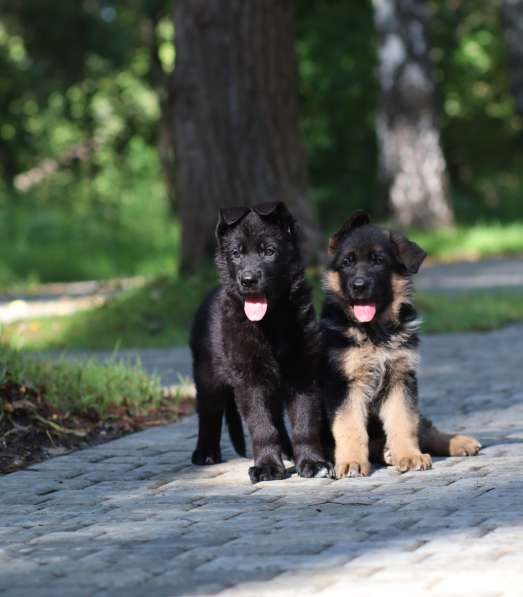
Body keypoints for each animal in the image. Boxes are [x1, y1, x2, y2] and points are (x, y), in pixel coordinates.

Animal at [191, 203, 332, 482]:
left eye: (269, 251)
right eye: (236, 253)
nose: (247, 280)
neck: (271, 320)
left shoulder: (303, 373)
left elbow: (305, 421)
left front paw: (312, 462)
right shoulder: (250, 378)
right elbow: (261, 425)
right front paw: (267, 466)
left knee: (277, 418)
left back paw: (288, 452)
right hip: (207, 373)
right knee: (209, 413)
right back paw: (206, 453)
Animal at [322, 212, 482, 478]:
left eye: (378, 261)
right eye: (347, 262)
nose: (358, 285)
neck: (375, 332)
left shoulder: (401, 378)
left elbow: (403, 422)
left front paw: (409, 456)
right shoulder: (344, 386)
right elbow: (350, 426)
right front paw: (352, 462)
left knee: (425, 428)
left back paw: (459, 442)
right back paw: (385, 452)